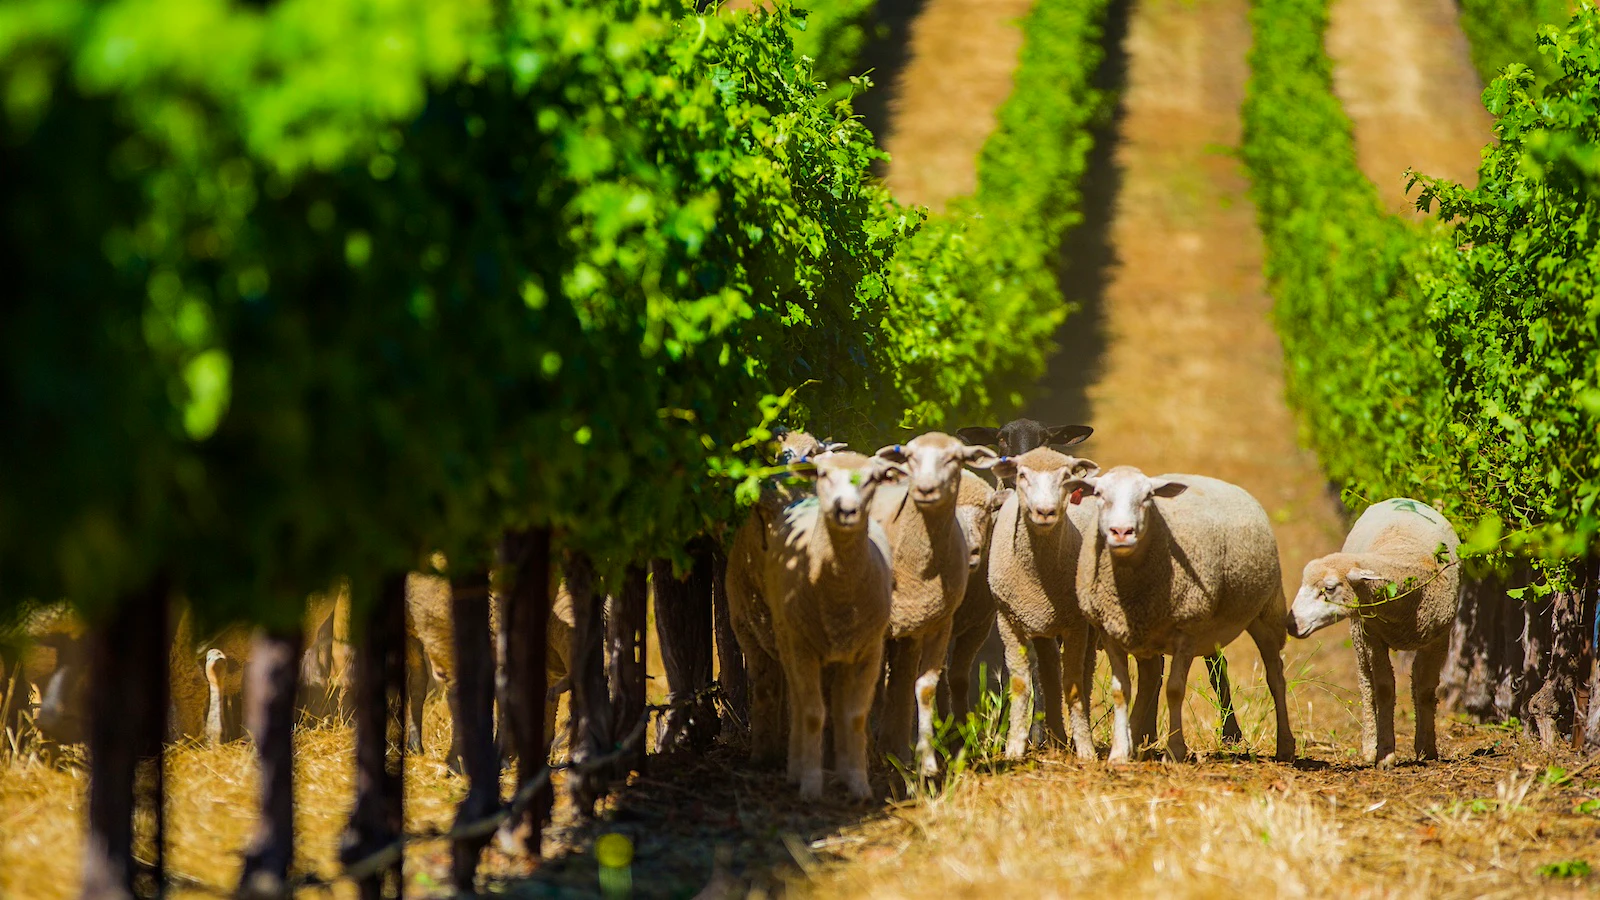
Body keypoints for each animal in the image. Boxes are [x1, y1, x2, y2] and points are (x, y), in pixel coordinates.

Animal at [757, 452, 902, 798]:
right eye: (823, 474)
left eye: (873, 478)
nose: (846, 510)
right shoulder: (802, 647)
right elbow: (812, 714)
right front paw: (810, 785)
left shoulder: (869, 651)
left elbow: (855, 716)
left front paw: (860, 784)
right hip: (785, 635)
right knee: (798, 701)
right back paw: (796, 770)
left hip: (843, 653)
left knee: (837, 704)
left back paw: (844, 772)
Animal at [870, 432, 1000, 775]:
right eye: (911, 456)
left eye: (988, 511)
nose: (926, 489)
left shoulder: (961, 623)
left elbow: (937, 683)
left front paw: (940, 751)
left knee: (904, 680)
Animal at [986, 449, 1101, 759]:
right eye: (1022, 475)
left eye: (1066, 477)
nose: (1045, 512)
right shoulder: (1008, 622)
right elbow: (1021, 685)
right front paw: (1014, 748)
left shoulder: (1076, 624)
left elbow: (1073, 686)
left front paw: (1085, 750)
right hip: (1041, 625)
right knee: (1049, 674)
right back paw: (1056, 738)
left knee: (1084, 676)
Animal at [1072, 466, 1294, 763]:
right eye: (1098, 494)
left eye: (1148, 497)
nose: (1121, 532)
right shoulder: (1110, 631)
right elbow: (1121, 691)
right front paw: (1119, 753)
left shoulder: (1187, 629)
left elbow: (1175, 690)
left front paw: (1175, 750)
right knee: (1152, 676)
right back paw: (1135, 739)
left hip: (1266, 612)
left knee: (1275, 675)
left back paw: (1285, 746)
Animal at [1288, 498, 1460, 767]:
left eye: (1329, 588)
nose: (1290, 623)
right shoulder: (1373, 636)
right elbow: (1384, 688)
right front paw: (1385, 753)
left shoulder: (1439, 638)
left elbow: (1424, 689)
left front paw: (1427, 749)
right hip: (1359, 633)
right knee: (1366, 683)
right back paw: (1370, 746)